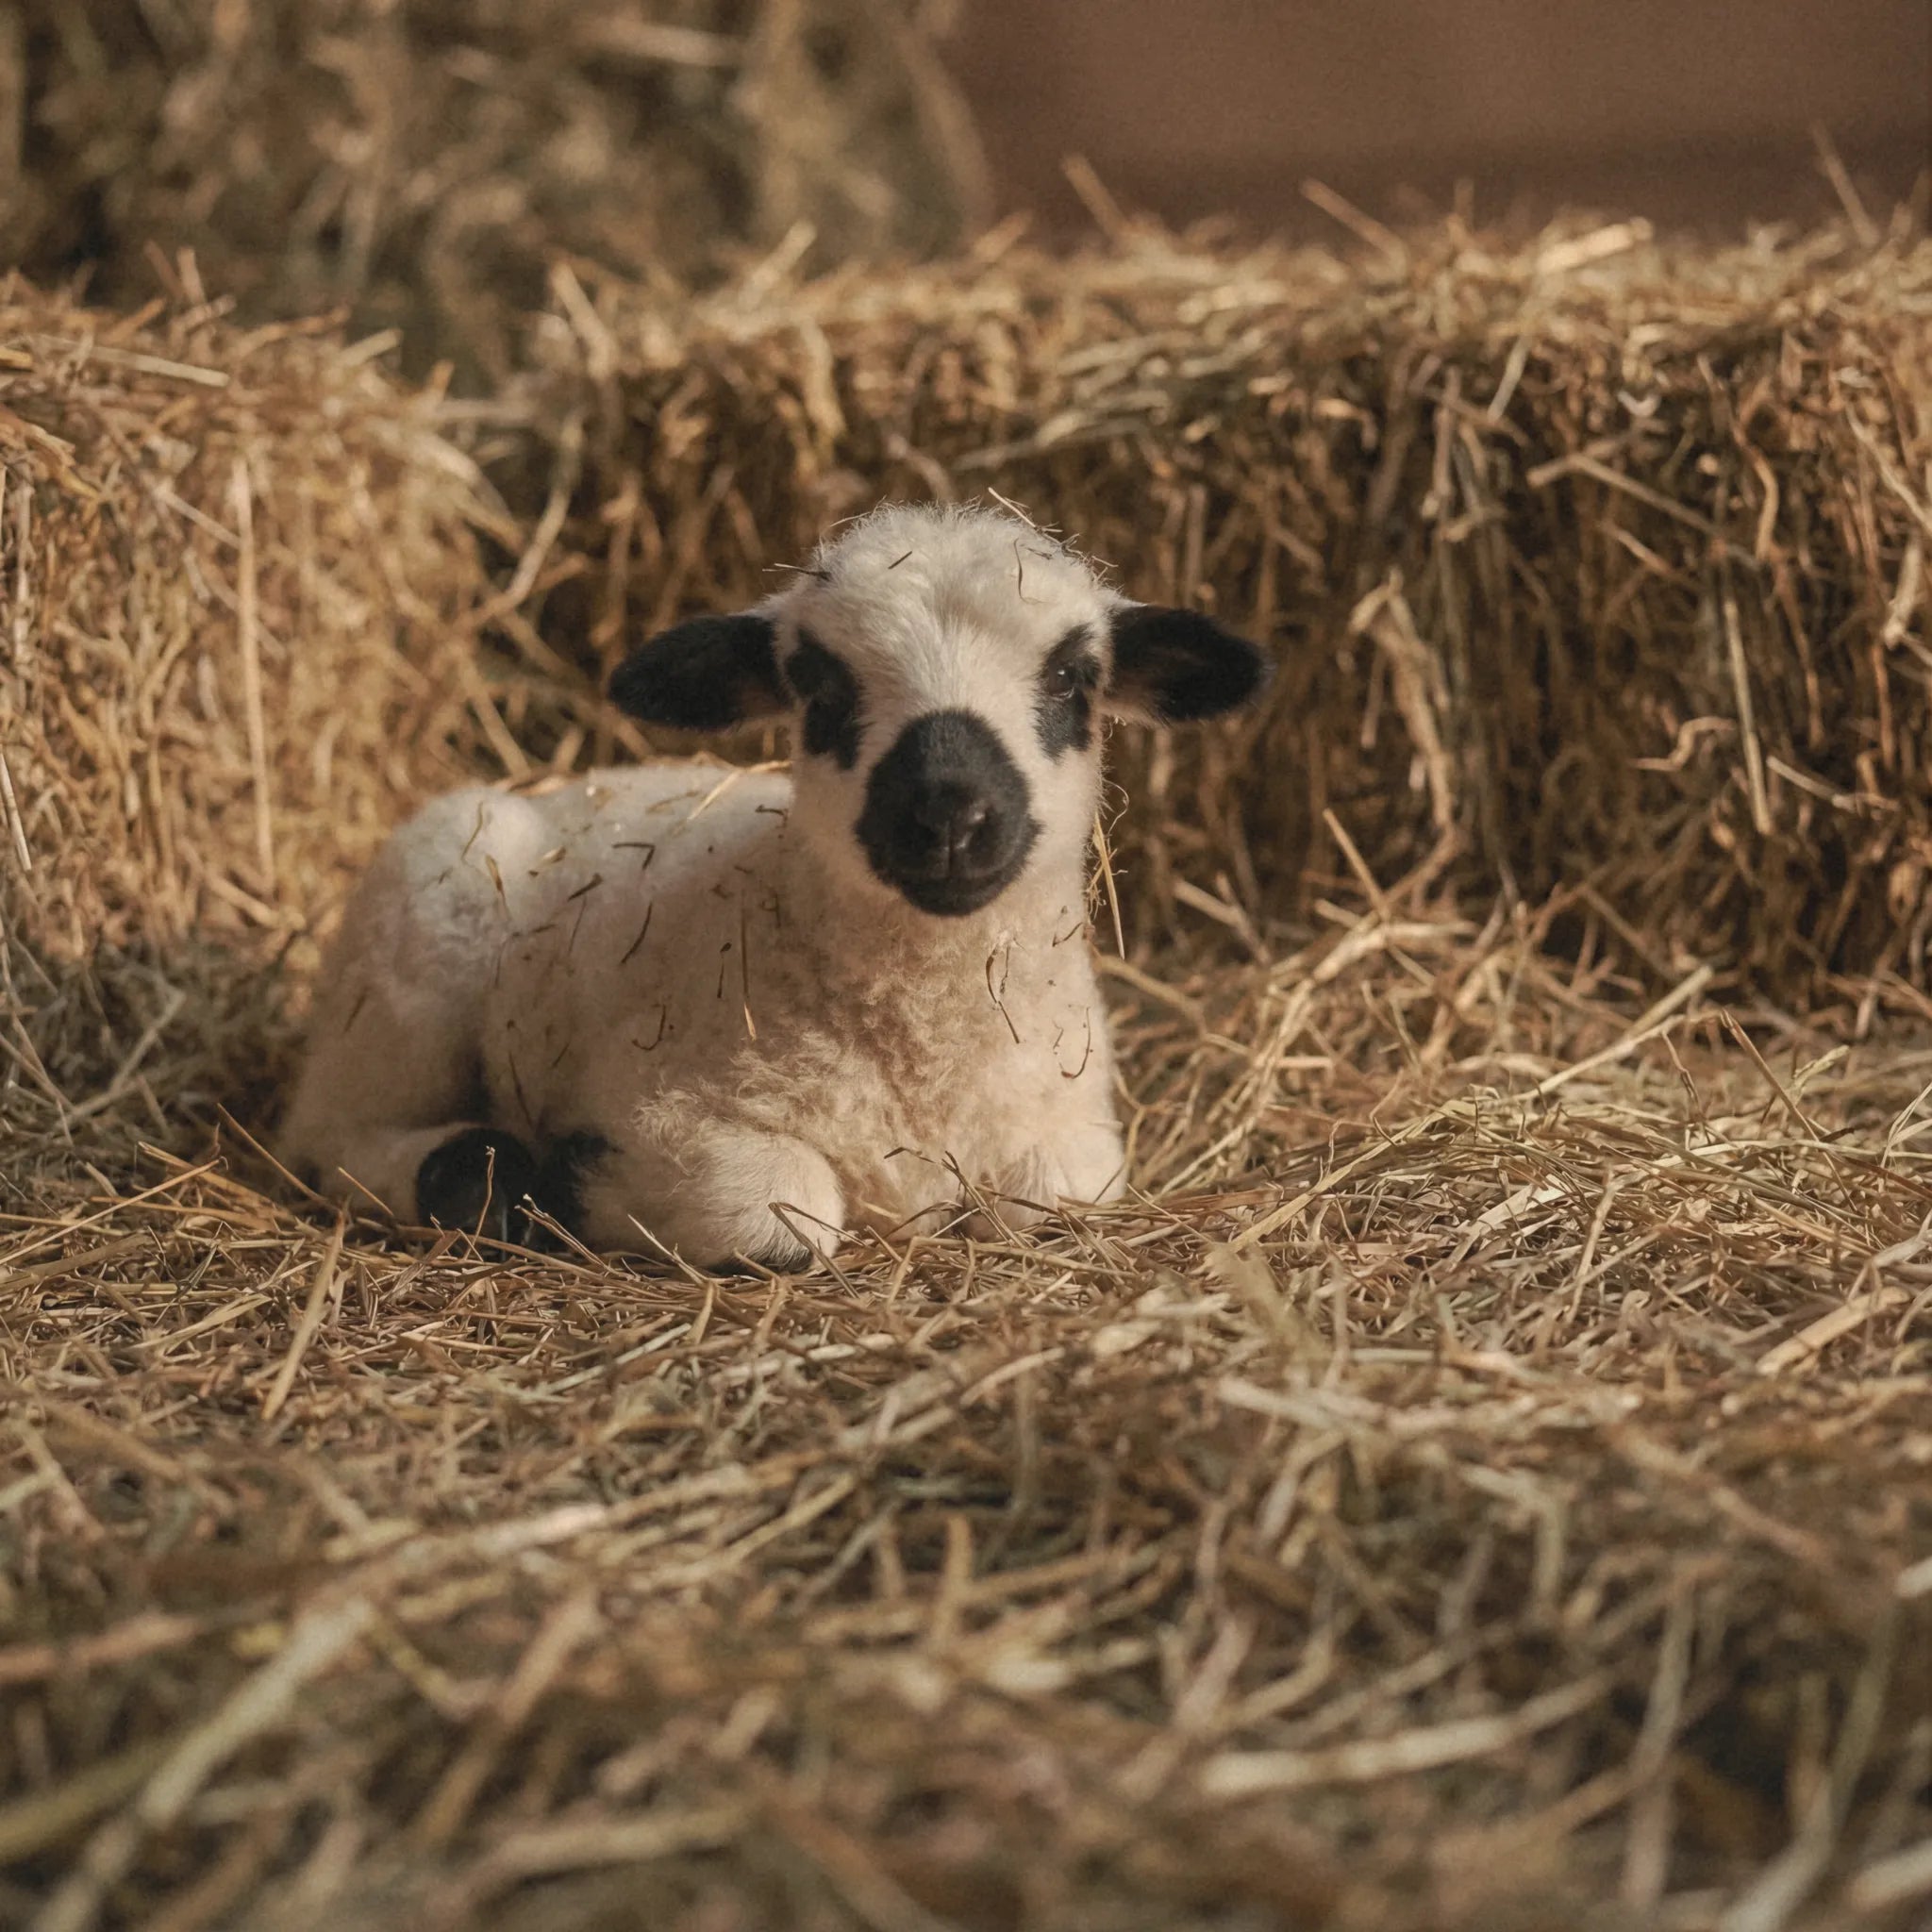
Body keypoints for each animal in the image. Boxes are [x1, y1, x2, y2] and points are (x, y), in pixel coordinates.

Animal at [280, 502, 1270, 1269]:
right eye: (818, 686)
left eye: (1072, 677)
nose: (948, 813)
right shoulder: (666, 1107)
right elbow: (775, 1215)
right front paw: (573, 1172)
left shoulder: (1071, 1139)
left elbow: (1054, 1196)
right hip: (415, 965)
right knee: (334, 1134)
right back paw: (480, 1170)